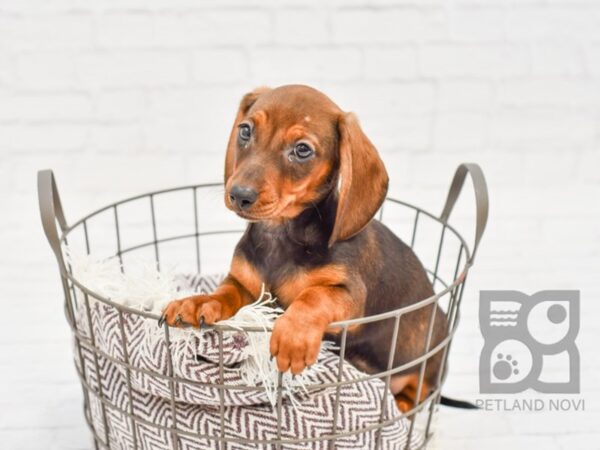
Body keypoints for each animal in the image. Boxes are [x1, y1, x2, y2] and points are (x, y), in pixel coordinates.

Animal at [162, 85, 448, 412]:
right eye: (245, 131)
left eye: (302, 150)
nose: (238, 195)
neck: (280, 235)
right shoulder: (247, 286)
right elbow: (225, 292)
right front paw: (198, 302)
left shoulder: (350, 297)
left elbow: (313, 296)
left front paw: (294, 337)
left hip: (428, 362)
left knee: (418, 390)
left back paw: (401, 405)